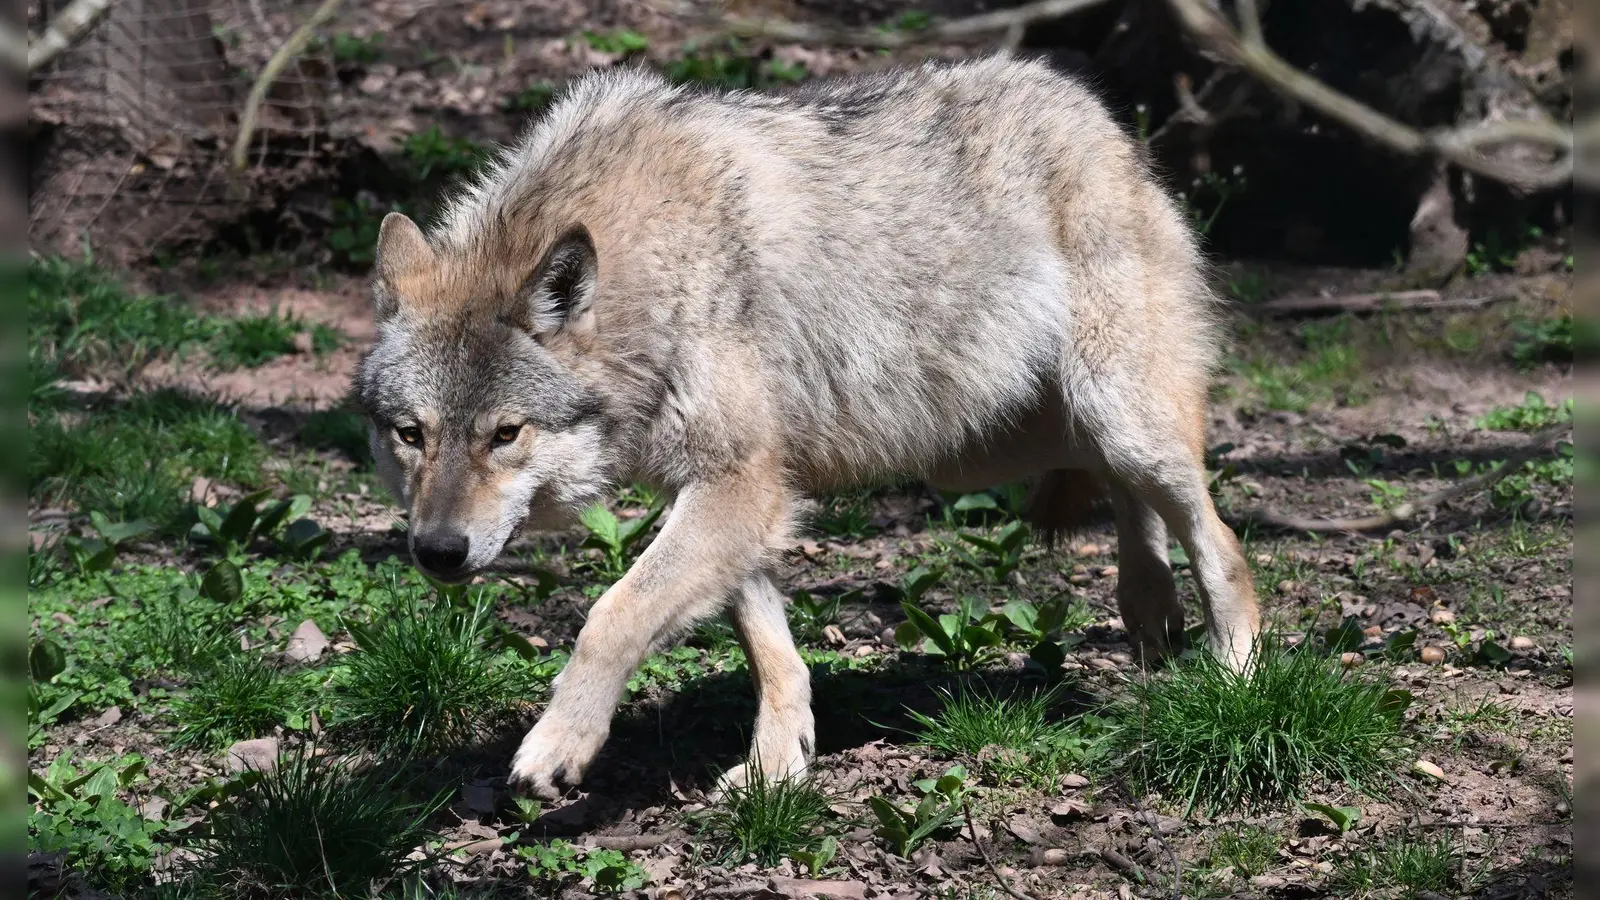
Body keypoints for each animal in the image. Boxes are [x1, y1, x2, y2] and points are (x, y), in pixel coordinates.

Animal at [353, 54, 1260, 799]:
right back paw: (1148, 608)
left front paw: (558, 745)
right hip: (986, 447)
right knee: (1123, 491)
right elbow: (769, 649)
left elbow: (613, 614)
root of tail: (1098, 113)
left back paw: (1235, 676)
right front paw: (775, 767)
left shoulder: (740, 482)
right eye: (410, 435)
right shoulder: (738, 491)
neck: (656, 272)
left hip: (1110, 414)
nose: (437, 552)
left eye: (505, 434)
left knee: (1219, 537)